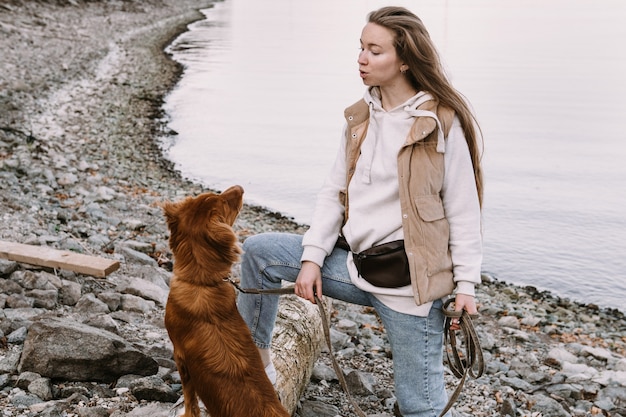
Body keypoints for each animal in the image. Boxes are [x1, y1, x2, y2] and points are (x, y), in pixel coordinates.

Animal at [161, 186, 288, 416]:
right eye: (221, 199)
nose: (240, 188)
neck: (201, 283)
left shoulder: (180, 356)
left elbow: (189, 397)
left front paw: (188, 412)